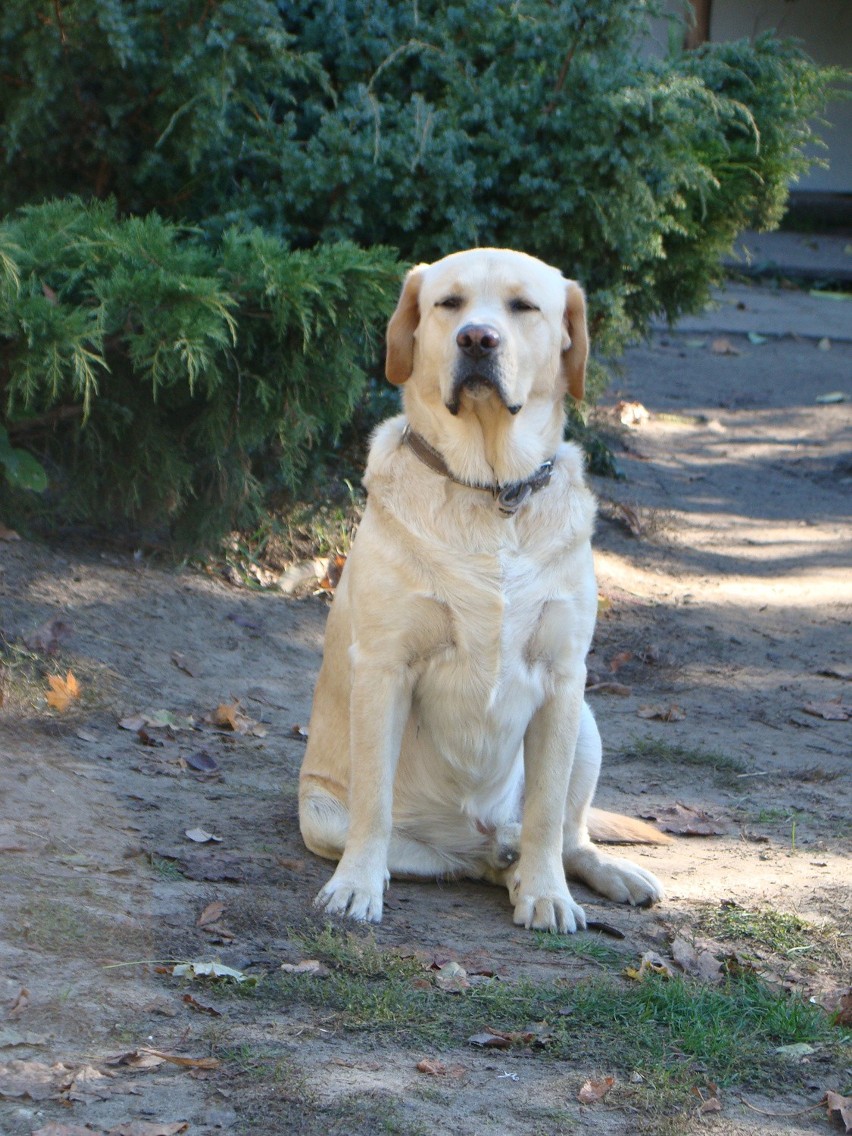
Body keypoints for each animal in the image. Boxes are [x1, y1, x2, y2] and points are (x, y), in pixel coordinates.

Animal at [299, 248, 667, 931]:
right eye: (450, 304)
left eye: (524, 307)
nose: (477, 339)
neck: (493, 490)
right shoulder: (385, 668)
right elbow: (374, 805)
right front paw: (355, 887)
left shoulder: (563, 677)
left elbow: (546, 813)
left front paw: (549, 896)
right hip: (321, 816)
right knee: (448, 855)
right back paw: (498, 863)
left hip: (587, 726)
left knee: (567, 835)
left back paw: (588, 872)